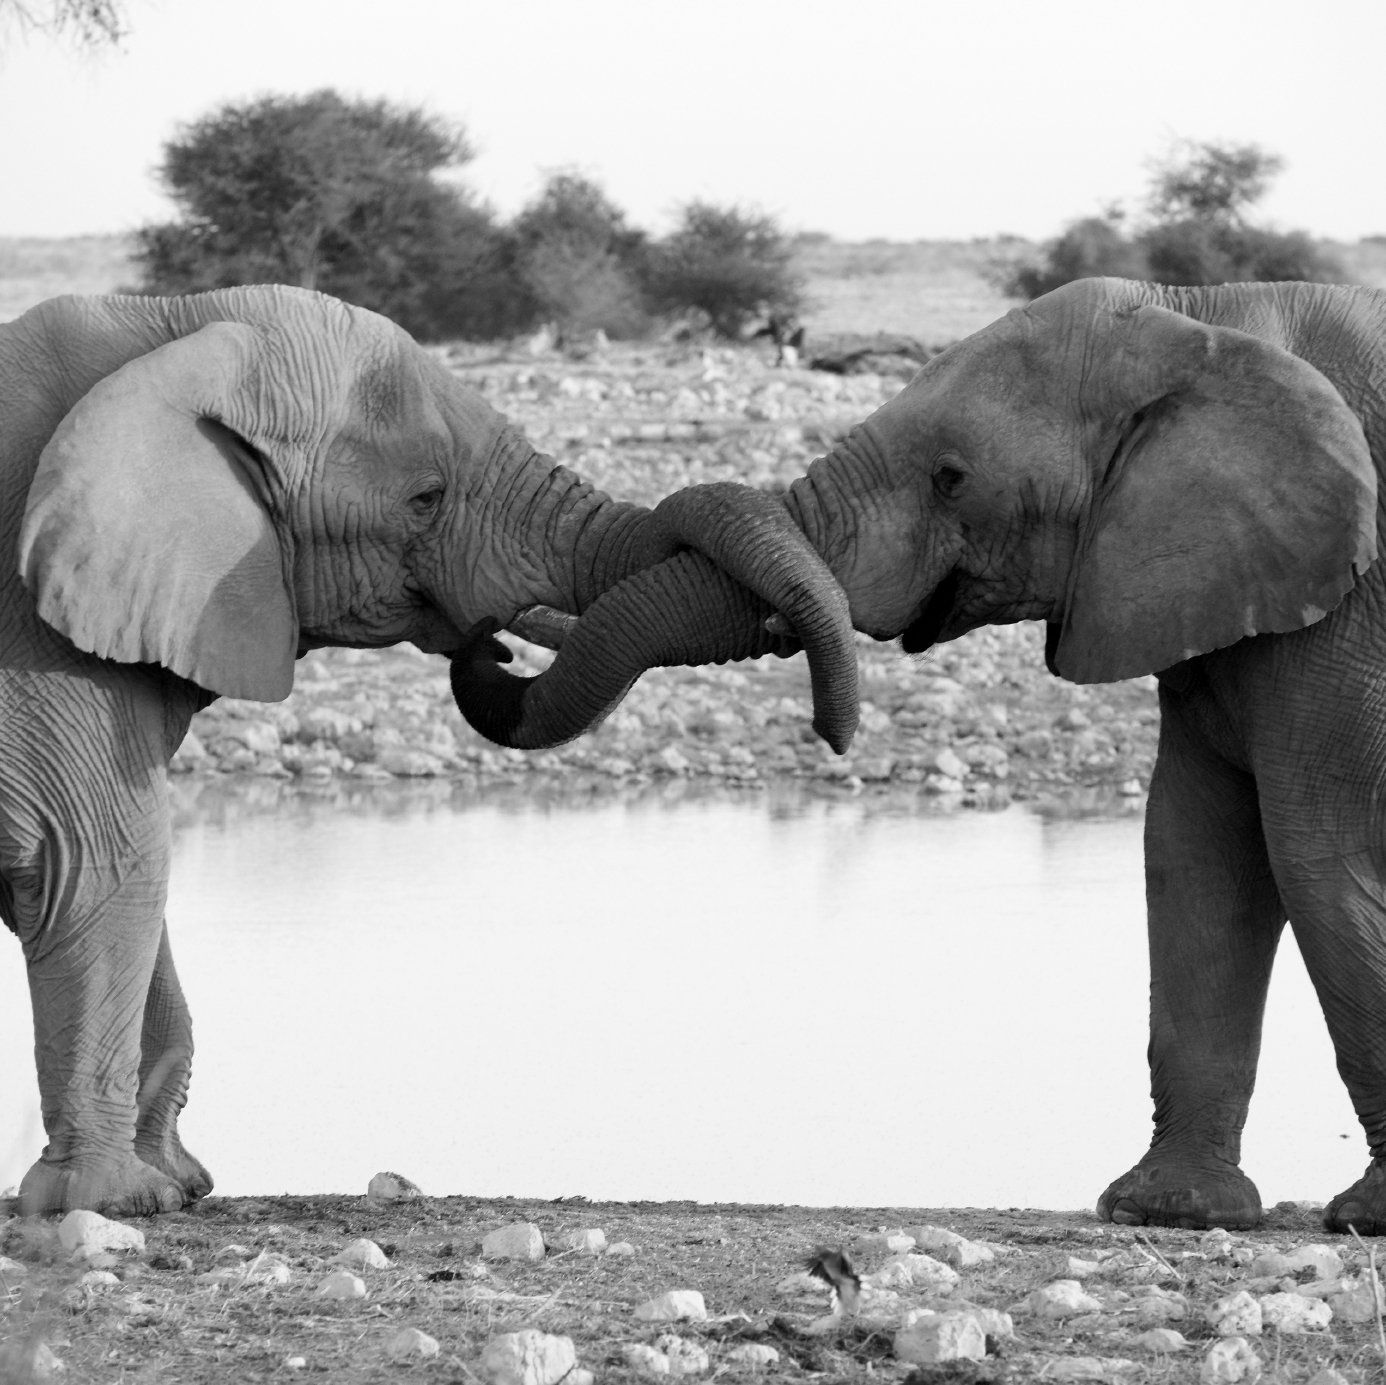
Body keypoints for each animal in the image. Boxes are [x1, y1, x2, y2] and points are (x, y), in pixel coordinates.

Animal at [2, 286, 853, 1220]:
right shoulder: (39, 643)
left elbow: (135, 876)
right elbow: (101, 863)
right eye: (425, 497)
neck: (161, 328)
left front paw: (176, 1185)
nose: (492, 646)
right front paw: (114, 1201)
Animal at [582, 270, 1386, 1236]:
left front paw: (1365, 1215)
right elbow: (1197, 853)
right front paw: (1169, 1209)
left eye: (951, 477)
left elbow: (1315, 855)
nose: (833, 735)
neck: (1212, 319)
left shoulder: (1358, 616)